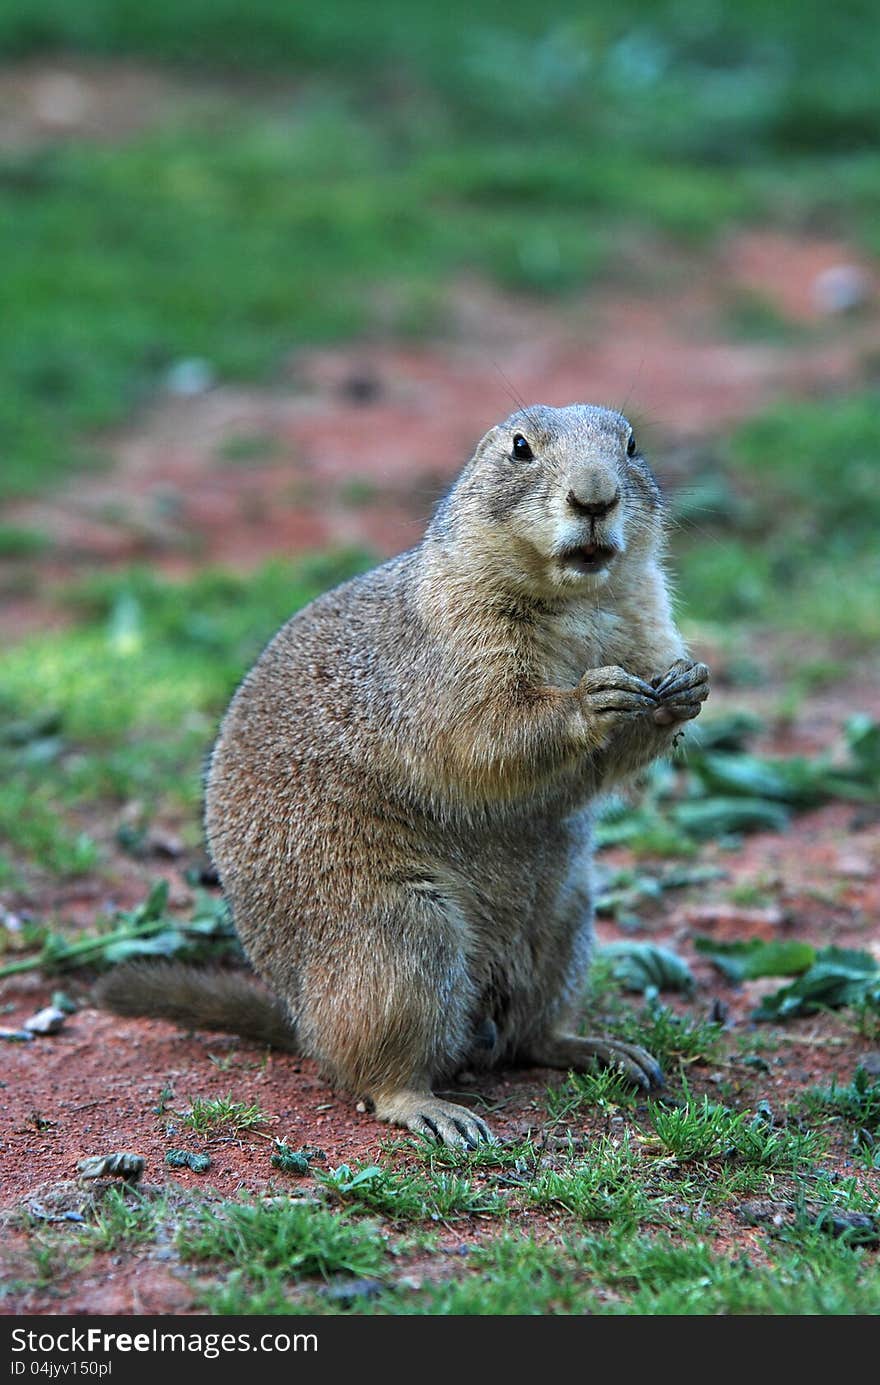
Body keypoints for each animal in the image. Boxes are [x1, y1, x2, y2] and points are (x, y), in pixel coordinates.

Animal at [96, 401, 709, 1146]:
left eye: (632, 444)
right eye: (520, 448)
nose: (595, 496)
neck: (578, 602)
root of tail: (301, 1021)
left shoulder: (646, 616)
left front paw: (685, 686)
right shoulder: (455, 650)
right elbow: (487, 732)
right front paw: (593, 700)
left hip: (566, 920)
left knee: (530, 1037)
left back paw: (602, 1050)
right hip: (400, 941)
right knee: (377, 1070)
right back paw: (433, 1108)